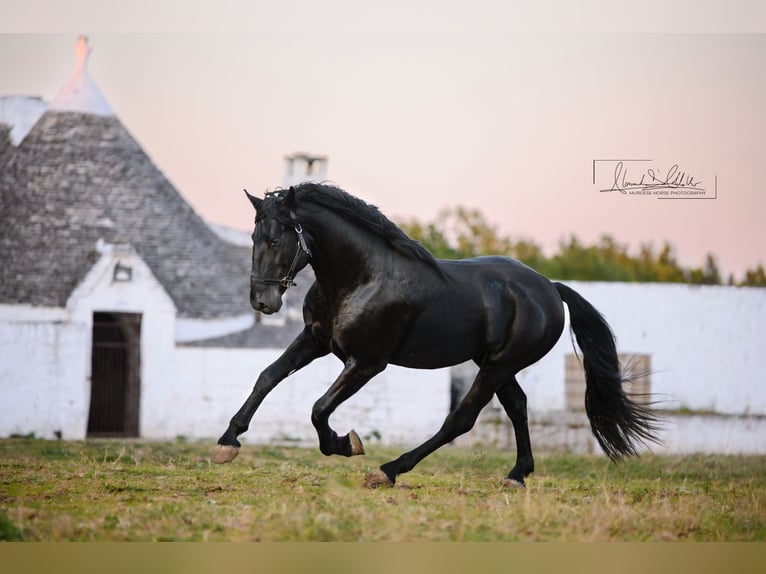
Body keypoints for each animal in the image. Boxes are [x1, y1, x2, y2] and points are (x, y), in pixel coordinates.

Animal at [212, 182, 660, 488]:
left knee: (460, 420)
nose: (262, 301)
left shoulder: (367, 363)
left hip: (499, 365)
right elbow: (267, 377)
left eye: (276, 239)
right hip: (494, 364)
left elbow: (319, 408)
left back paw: (388, 471)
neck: (361, 277)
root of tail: (550, 288)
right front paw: (227, 443)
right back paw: (517, 474)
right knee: (517, 406)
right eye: (254, 237)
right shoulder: (317, 340)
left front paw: (347, 444)